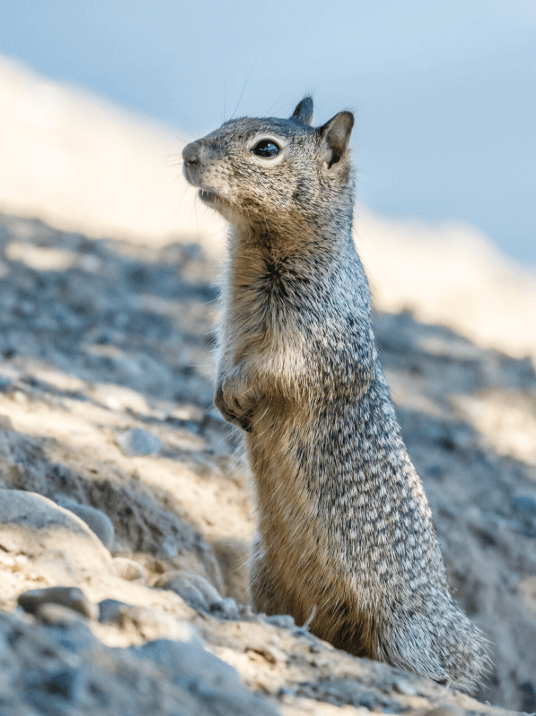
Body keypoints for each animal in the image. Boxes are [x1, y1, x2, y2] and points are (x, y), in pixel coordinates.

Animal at [182, 97, 490, 691]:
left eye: (267, 149)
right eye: (226, 123)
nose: (188, 153)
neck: (258, 250)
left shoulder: (311, 337)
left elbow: (275, 372)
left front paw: (239, 394)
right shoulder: (230, 326)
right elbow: (224, 358)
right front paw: (222, 398)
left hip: (402, 631)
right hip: (265, 575)